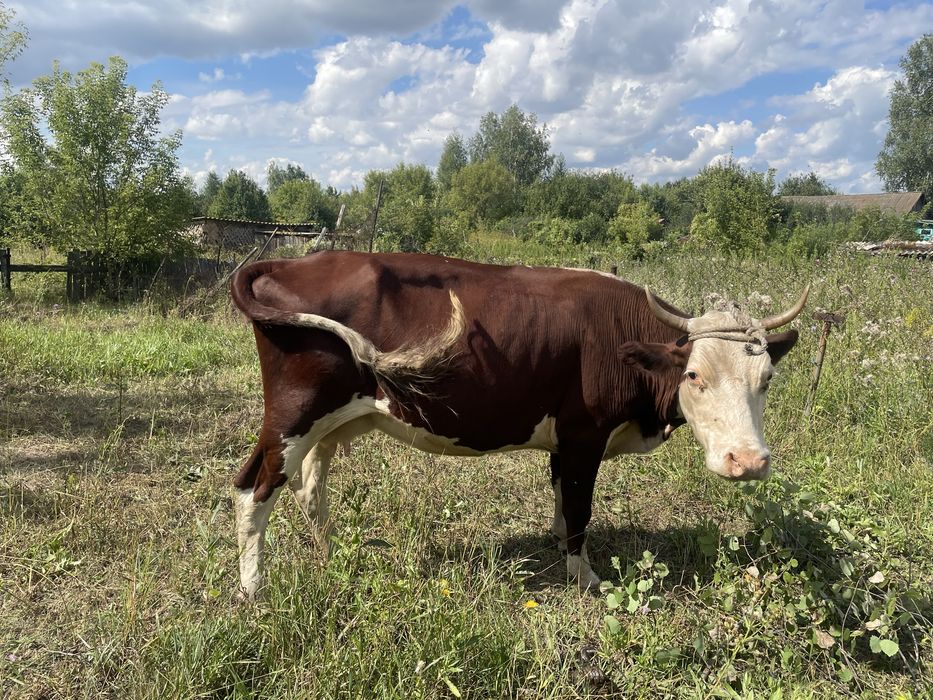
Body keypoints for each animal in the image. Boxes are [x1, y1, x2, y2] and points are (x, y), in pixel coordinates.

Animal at [230, 251, 807, 599]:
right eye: (694, 374)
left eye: (767, 378)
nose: (747, 461)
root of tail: (290, 261)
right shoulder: (584, 433)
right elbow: (581, 507)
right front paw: (583, 574)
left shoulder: (563, 438)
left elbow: (560, 494)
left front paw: (555, 538)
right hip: (293, 415)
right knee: (255, 488)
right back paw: (254, 588)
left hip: (331, 421)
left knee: (309, 488)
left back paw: (328, 557)